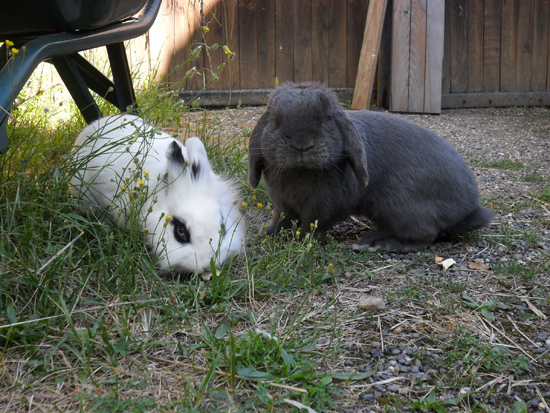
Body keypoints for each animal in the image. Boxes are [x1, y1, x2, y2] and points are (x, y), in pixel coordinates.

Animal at [248, 81, 494, 251]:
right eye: (276, 121)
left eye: (326, 120)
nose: (302, 145)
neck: (300, 171)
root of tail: (470, 207)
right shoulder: (283, 204)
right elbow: (281, 219)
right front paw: (267, 235)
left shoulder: (325, 208)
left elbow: (313, 225)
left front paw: (303, 242)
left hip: (399, 206)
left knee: (422, 237)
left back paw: (374, 243)